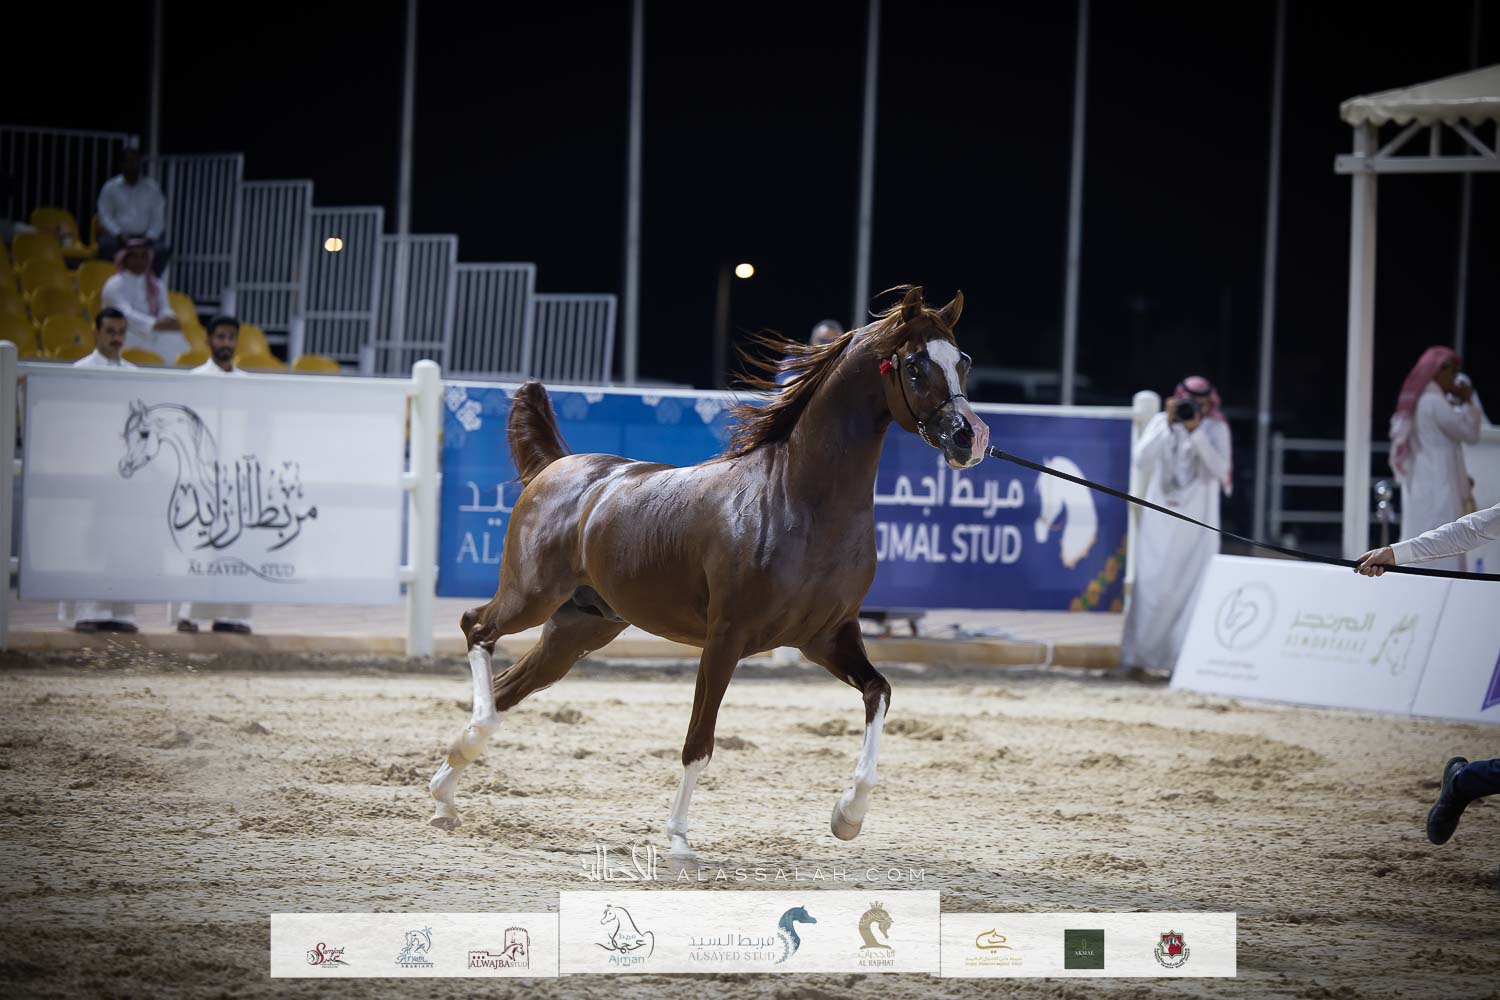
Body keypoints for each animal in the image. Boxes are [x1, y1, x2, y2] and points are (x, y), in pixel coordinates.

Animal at [429, 286, 990, 860]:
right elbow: (699, 740)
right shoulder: (726, 638)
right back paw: (462, 755)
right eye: (915, 365)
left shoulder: (826, 637)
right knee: (477, 629)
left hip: (579, 628)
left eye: (963, 360)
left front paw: (848, 817)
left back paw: (446, 795)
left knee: (507, 685)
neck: (797, 501)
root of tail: (557, 466)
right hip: (531, 595)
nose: (968, 439)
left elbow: (879, 692)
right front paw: (678, 841)